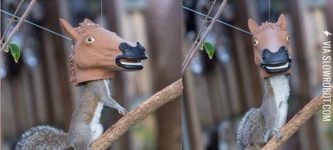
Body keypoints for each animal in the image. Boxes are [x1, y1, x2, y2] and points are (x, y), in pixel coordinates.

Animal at [236, 13, 290, 149]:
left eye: (287, 37)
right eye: (255, 42)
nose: (276, 57)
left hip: (283, 107)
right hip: (270, 110)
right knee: (267, 130)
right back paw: (271, 133)